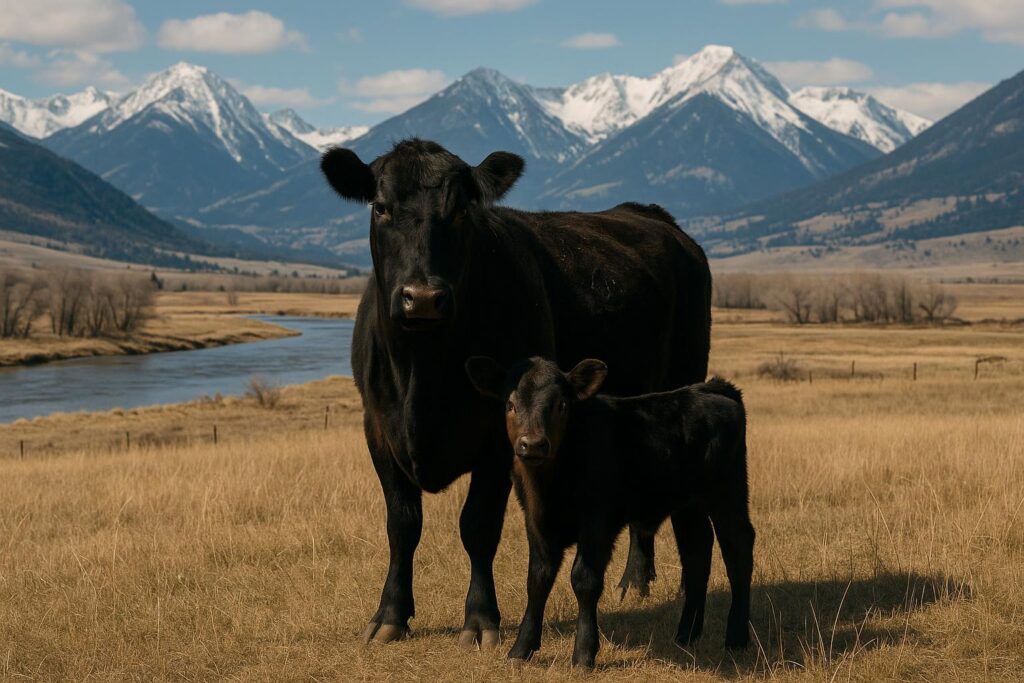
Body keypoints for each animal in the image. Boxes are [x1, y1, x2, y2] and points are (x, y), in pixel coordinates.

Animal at [320, 139, 712, 649]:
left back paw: (637, 578)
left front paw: (480, 619)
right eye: (381, 207)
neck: (422, 374)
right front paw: (390, 615)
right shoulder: (379, 430)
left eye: (461, 210)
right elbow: (402, 525)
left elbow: (478, 526)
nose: (422, 297)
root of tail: (651, 215)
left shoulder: (498, 437)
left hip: (684, 378)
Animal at [465, 356, 754, 667]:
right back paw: (686, 635)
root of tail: (711, 388)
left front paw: (584, 653)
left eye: (562, 404)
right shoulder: (535, 522)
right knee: (696, 555)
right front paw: (521, 649)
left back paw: (736, 638)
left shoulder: (597, 522)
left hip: (728, 493)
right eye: (510, 404)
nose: (532, 444)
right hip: (688, 506)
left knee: (738, 549)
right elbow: (537, 580)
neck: (553, 484)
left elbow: (584, 580)